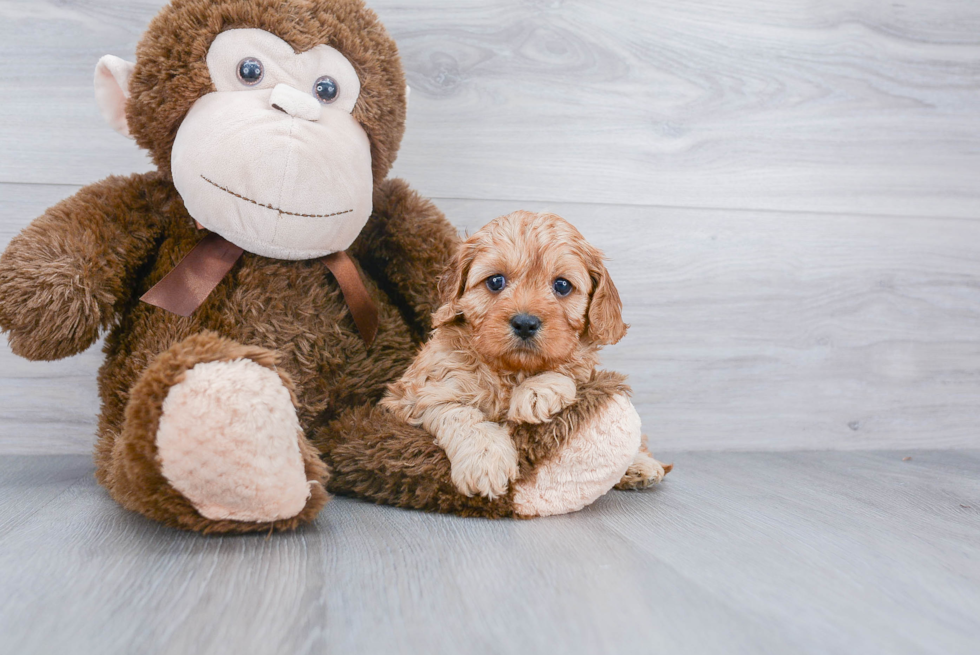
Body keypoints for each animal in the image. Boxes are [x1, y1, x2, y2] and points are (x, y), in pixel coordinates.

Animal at [380, 213, 668, 500]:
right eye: (495, 281)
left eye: (562, 285)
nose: (525, 323)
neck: (511, 371)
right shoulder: (420, 393)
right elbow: (461, 415)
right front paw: (485, 461)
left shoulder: (581, 369)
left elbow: (567, 369)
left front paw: (537, 392)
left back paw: (641, 465)